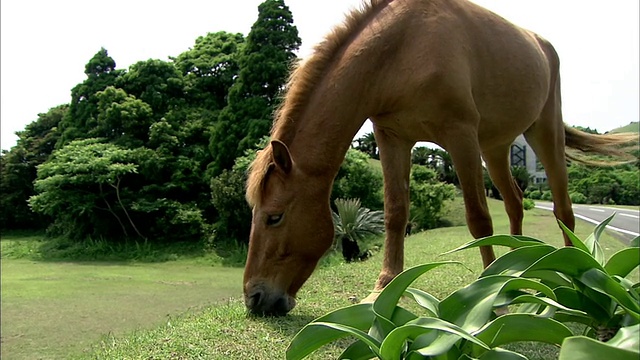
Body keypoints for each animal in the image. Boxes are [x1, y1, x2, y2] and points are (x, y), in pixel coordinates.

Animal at [241, 0, 636, 316]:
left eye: (274, 217)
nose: (254, 298)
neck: (403, 50)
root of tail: (543, 46)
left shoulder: (460, 135)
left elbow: (478, 219)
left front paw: (492, 293)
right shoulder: (392, 138)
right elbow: (395, 213)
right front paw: (382, 289)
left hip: (543, 131)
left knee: (562, 208)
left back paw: (573, 273)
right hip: (495, 146)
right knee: (514, 202)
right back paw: (516, 265)